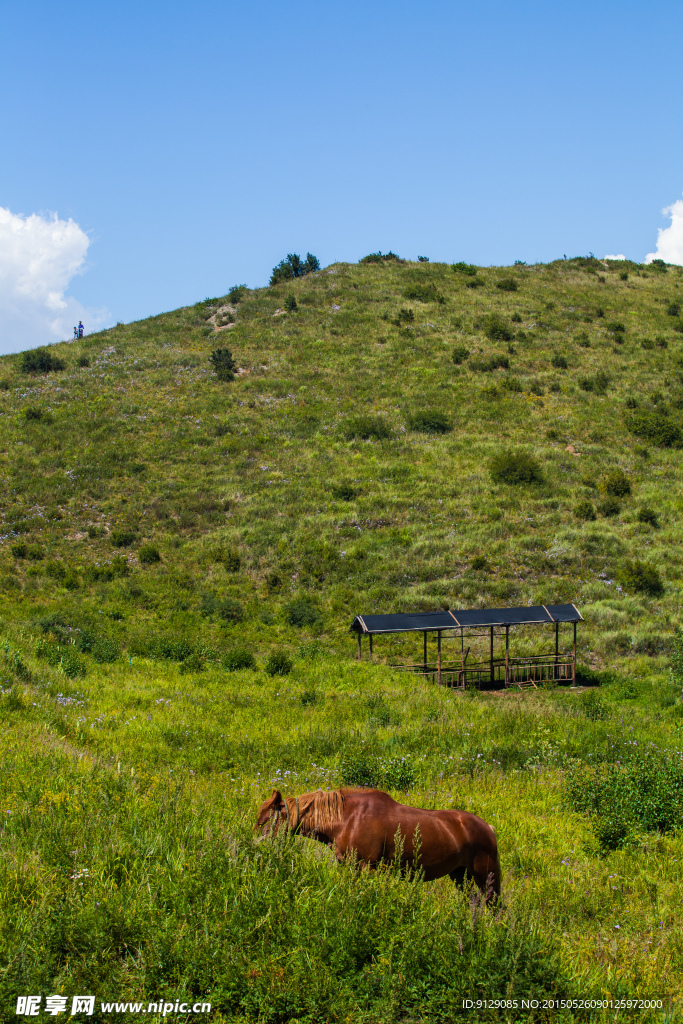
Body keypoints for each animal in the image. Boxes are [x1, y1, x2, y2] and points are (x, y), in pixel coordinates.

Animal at [253, 786, 499, 901]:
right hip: (460, 875)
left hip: (486, 875)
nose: (255, 847)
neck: (347, 819)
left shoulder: (364, 867)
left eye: (263, 822)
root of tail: (488, 828)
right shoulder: (348, 866)